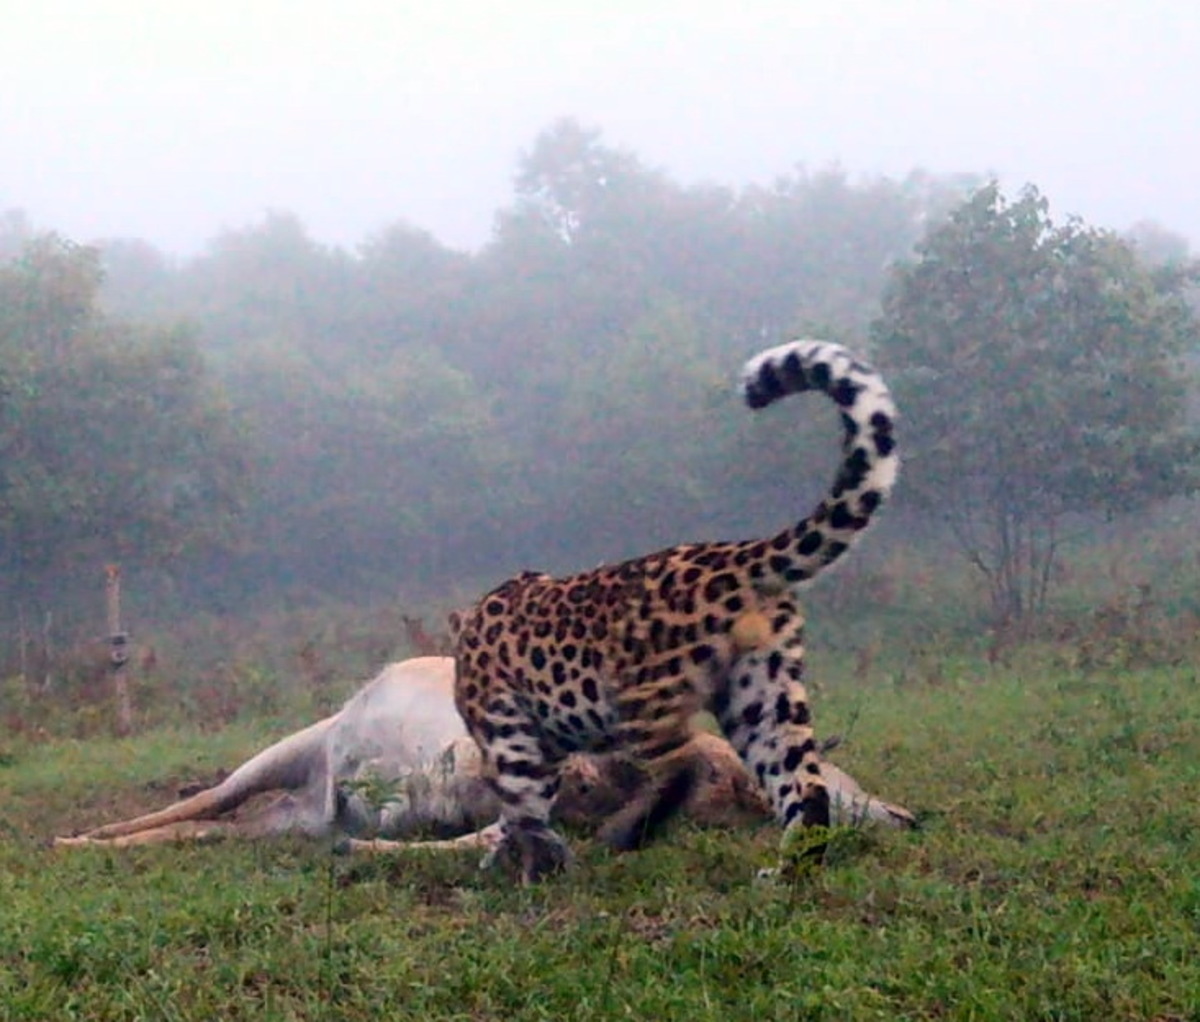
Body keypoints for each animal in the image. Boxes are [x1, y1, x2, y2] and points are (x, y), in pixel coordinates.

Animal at [451, 338, 902, 882]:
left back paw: (627, 833)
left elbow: (522, 810)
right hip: (763, 696)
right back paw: (787, 875)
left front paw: (527, 868)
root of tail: (739, 557)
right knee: (804, 786)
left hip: (645, 694)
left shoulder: (507, 733)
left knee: (681, 766)